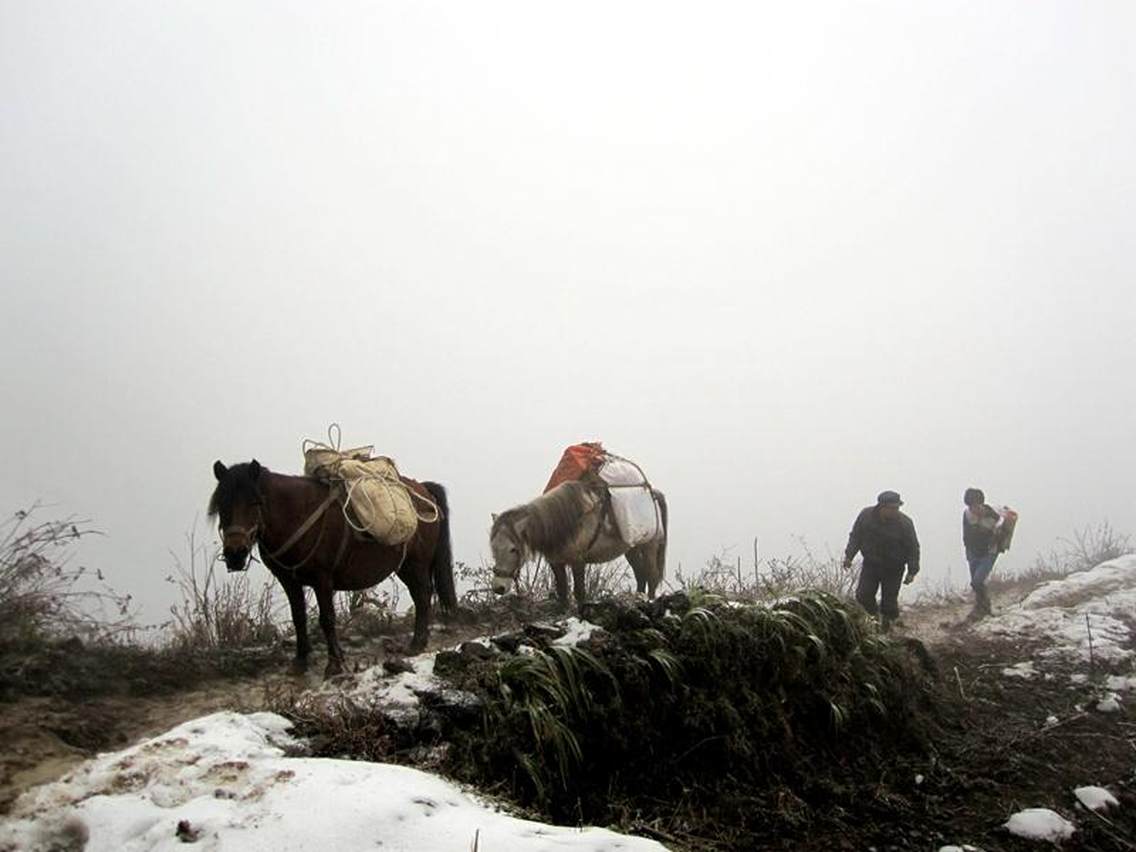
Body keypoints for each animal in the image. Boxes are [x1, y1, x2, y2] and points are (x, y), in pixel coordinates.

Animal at [206, 463, 454, 677]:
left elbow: (327, 619)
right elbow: (298, 617)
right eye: (221, 505)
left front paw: (334, 665)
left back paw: (417, 643)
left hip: (416, 564)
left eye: (255, 503)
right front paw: (300, 661)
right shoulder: (289, 580)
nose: (235, 554)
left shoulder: (322, 578)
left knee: (422, 596)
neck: (298, 515)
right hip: (405, 566)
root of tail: (424, 491)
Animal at [488, 481, 663, 613]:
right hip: (632, 549)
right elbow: (562, 589)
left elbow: (579, 591)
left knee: (652, 576)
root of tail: (652, 495)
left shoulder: (577, 561)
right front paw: (562, 610)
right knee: (640, 574)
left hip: (649, 546)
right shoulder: (556, 563)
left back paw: (650, 600)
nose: (499, 587)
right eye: (494, 548)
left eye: (513, 549)